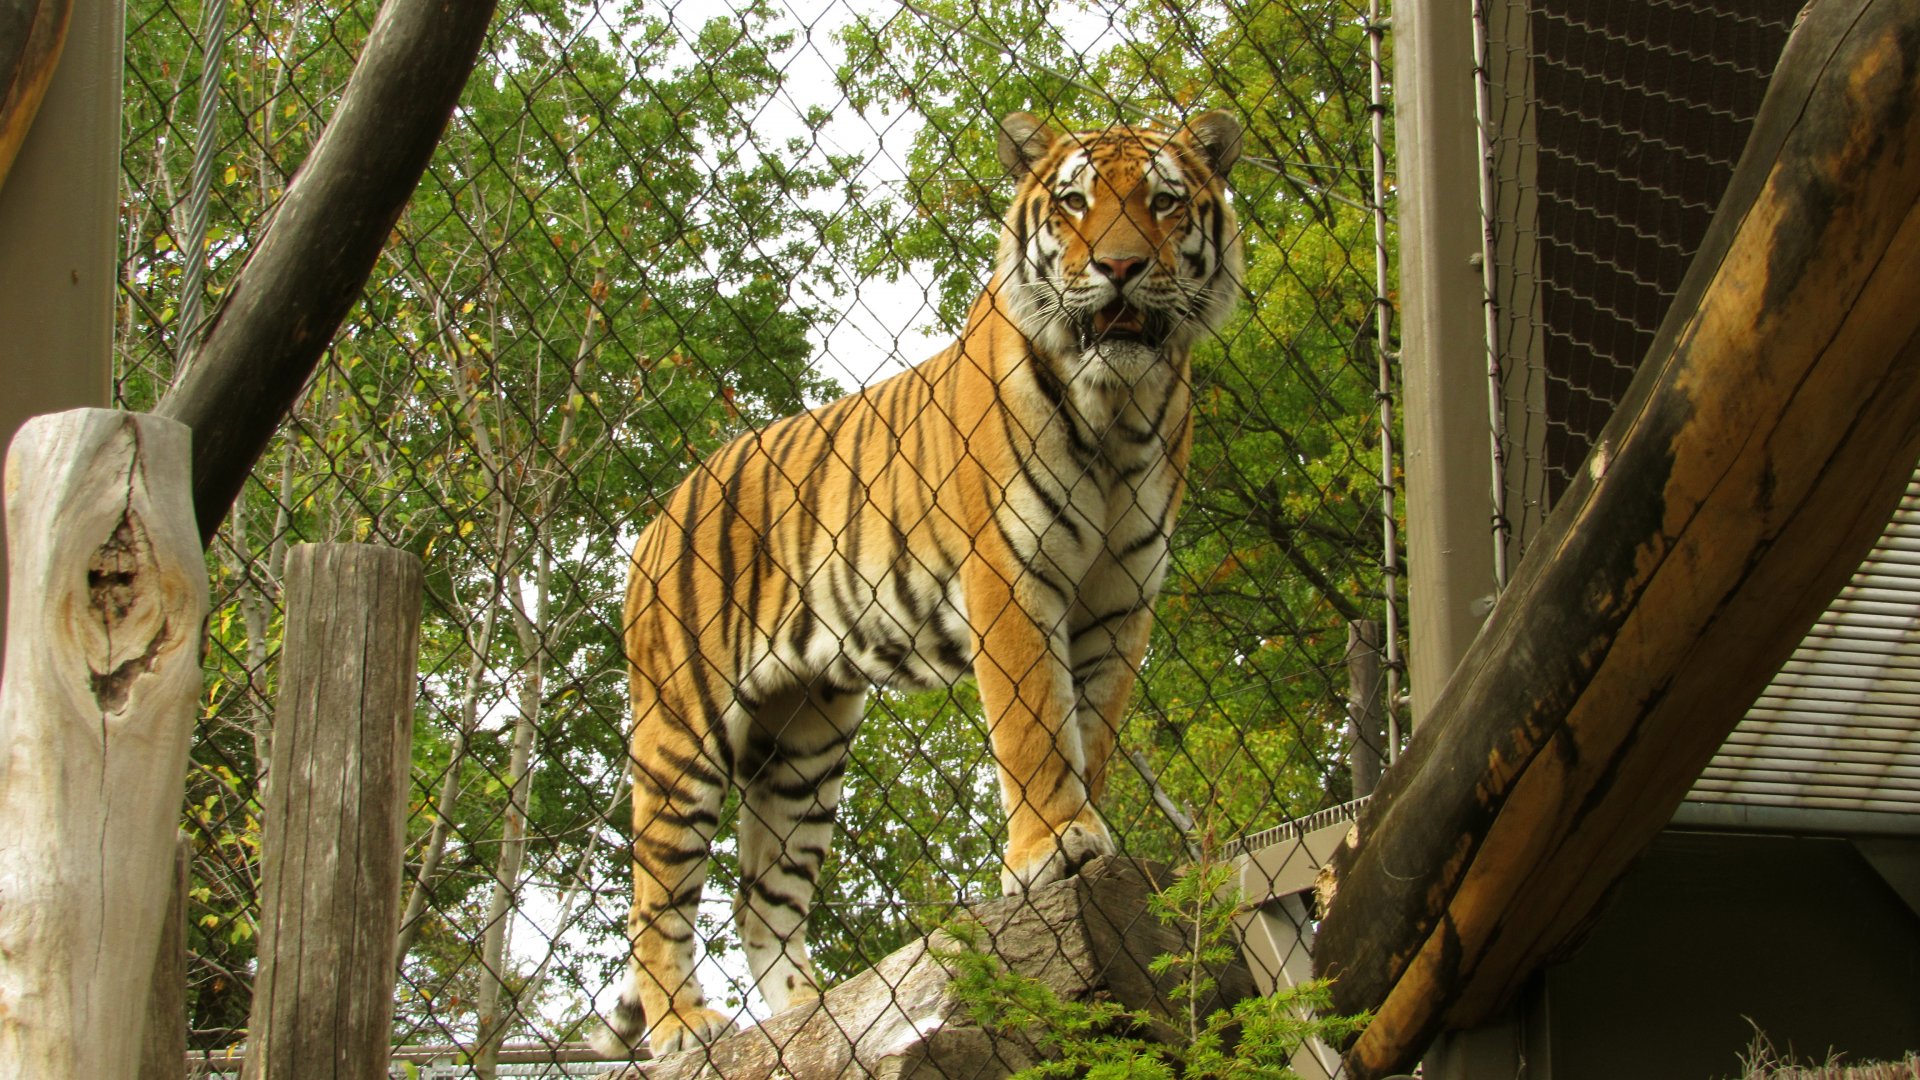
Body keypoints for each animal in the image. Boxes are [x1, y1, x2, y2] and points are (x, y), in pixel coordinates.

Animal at [594, 108, 1244, 1057]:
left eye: (1163, 202)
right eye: (1074, 202)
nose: (1120, 266)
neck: (1120, 407)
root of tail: (659, 511)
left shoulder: (1121, 600)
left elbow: (1090, 729)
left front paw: (1085, 832)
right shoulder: (1009, 575)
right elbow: (1035, 727)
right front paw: (1050, 848)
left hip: (804, 741)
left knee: (763, 902)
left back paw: (807, 1019)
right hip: (683, 729)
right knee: (655, 895)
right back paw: (684, 1026)